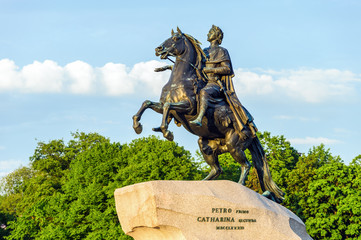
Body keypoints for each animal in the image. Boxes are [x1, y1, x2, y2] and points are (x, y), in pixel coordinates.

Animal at [132, 27, 284, 202]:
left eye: (176, 38)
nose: (158, 49)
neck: (181, 80)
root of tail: (252, 131)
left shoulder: (187, 107)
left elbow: (168, 107)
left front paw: (166, 131)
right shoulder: (164, 107)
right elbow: (148, 104)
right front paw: (138, 125)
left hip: (234, 145)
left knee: (246, 165)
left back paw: (240, 186)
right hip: (206, 145)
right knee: (217, 170)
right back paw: (200, 184)